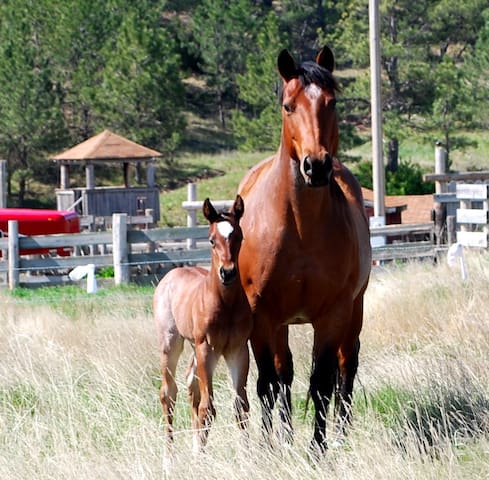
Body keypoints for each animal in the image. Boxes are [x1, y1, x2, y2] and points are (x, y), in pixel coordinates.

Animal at [153, 194, 252, 450]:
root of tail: (171, 275)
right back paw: (169, 455)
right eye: (211, 240)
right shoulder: (207, 347)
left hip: (195, 346)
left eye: (239, 237)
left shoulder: (238, 350)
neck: (225, 305)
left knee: (190, 383)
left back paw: (195, 445)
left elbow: (241, 406)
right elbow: (208, 408)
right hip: (172, 342)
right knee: (168, 393)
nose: (227, 273)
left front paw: (248, 455)